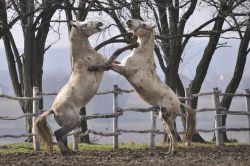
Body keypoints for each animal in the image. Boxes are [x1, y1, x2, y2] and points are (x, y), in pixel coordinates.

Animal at [34, 20, 106, 155]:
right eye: (85, 24)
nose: (100, 23)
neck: (85, 57)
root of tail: (53, 109)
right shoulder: (103, 65)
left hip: (68, 123)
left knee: (63, 136)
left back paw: (69, 151)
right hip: (74, 122)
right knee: (58, 134)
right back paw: (65, 152)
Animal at [110, 19, 196, 154]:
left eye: (144, 24)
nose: (129, 21)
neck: (140, 55)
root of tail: (179, 102)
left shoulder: (125, 70)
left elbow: (111, 65)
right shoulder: (122, 66)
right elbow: (113, 62)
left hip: (167, 117)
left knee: (173, 133)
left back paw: (173, 152)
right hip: (163, 118)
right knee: (170, 134)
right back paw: (168, 151)